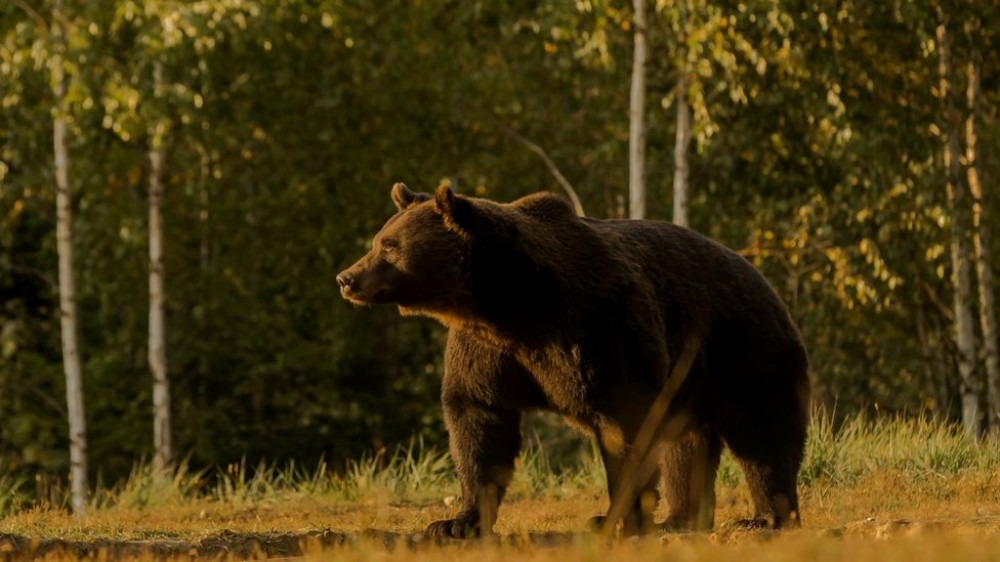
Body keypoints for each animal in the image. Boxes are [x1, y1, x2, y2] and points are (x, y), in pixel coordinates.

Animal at [340, 182, 808, 536]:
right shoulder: (487, 349)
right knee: (687, 445)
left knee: (762, 433)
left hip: (744, 349)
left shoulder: (597, 327)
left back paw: (765, 516)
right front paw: (457, 521)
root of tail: (761, 278)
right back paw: (681, 518)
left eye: (389, 246)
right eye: (378, 241)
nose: (346, 277)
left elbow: (626, 423)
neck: (510, 303)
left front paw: (617, 516)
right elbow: (478, 419)